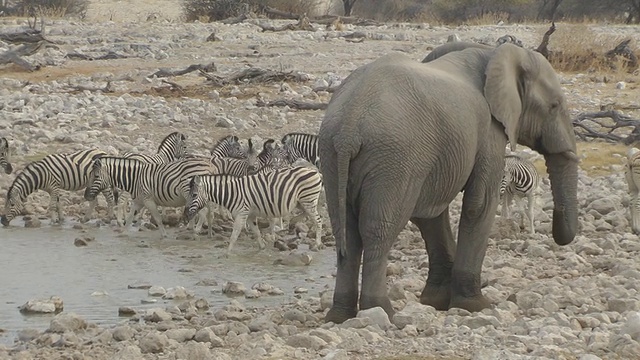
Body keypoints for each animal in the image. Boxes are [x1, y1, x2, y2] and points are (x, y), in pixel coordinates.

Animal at [83, 157, 218, 236]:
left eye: (95, 176)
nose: (86, 196)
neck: (135, 178)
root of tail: (210, 165)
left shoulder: (148, 200)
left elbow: (157, 218)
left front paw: (164, 235)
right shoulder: (138, 201)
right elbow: (130, 218)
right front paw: (123, 233)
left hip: (193, 194)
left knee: (203, 212)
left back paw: (196, 230)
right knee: (210, 214)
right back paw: (205, 233)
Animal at [185, 167, 324, 256]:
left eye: (194, 195)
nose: (186, 214)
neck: (231, 192)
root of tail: (316, 172)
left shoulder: (241, 214)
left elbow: (234, 235)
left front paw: (227, 254)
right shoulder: (250, 216)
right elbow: (256, 232)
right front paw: (262, 249)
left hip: (308, 200)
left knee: (318, 221)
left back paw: (317, 244)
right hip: (302, 202)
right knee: (307, 215)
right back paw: (294, 222)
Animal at [320, 42, 580, 324]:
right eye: (554, 105)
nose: (558, 234)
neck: (494, 52)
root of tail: (348, 128)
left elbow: (430, 214)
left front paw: (436, 302)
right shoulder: (489, 130)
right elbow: (479, 204)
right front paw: (476, 306)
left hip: (333, 155)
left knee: (346, 231)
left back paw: (339, 316)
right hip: (394, 158)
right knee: (378, 230)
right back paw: (381, 312)